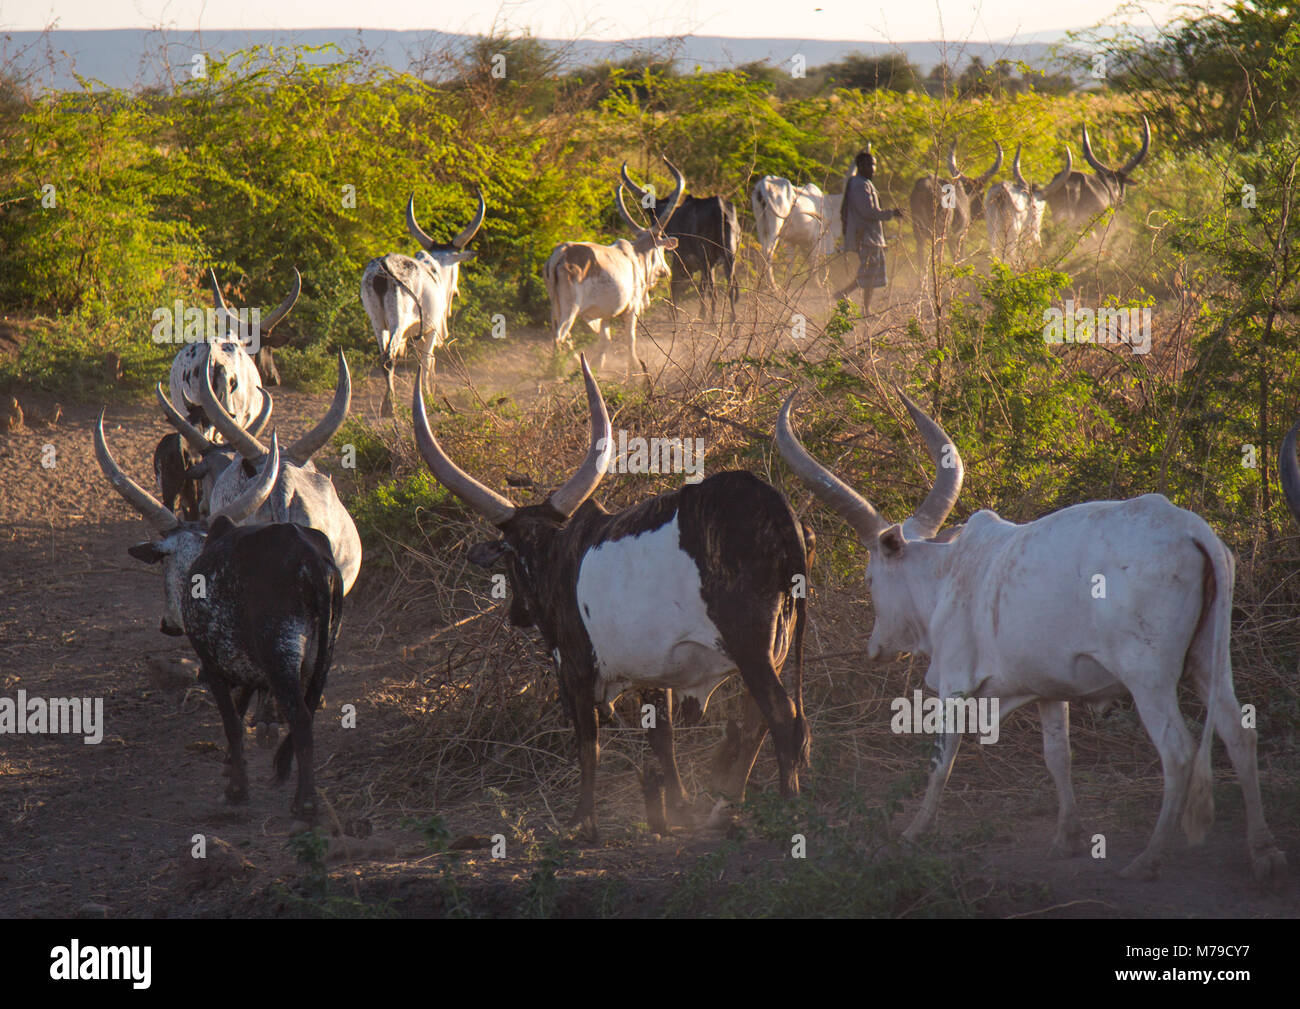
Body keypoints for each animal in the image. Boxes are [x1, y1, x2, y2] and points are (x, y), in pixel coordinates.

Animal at [95, 418, 343, 821]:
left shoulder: (211, 663)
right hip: (323, 651)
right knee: (309, 705)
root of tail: (309, 560)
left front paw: (236, 788)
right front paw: (232, 766)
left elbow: (231, 721)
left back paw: (304, 803)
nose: (168, 625)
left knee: (301, 715)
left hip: (281, 653)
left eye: (162, 564)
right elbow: (242, 710)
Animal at [358, 191, 486, 416]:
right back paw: (390, 406)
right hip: (397, 321)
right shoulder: (431, 329)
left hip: (377, 322)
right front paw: (428, 397)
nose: (455, 291)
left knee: (382, 356)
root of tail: (383, 266)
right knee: (389, 357)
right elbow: (426, 361)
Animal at [410, 358, 811, 837]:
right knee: (757, 723)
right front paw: (678, 808)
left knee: (783, 716)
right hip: (778, 649)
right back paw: (732, 805)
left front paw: (582, 821)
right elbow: (662, 741)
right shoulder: (655, 675)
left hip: (750, 645)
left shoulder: (574, 668)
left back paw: (787, 809)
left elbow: (589, 744)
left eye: (508, 557)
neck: (556, 554)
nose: (518, 614)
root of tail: (777, 507)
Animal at [543, 163, 686, 377]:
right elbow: (630, 338)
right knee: (560, 336)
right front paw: (634, 365)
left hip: (555, 306)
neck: (637, 255)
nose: (666, 271)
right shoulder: (632, 308)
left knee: (559, 335)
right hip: (570, 308)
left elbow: (606, 339)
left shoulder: (605, 315)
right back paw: (557, 371)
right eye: (661, 248)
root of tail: (561, 253)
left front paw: (598, 364)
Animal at [774, 390, 1284, 878]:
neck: (948, 572)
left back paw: (1149, 859)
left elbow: (942, 761)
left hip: (1149, 678)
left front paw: (914, 832)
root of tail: (1193, 532)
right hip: (1208, 662)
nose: (875, 648)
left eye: (869, 579)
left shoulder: (954, 686)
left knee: (1177, 752)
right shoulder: (1048, 690)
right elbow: (1058, 755)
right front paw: (1067, 838)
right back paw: (1261, 852)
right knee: (1239, 735)